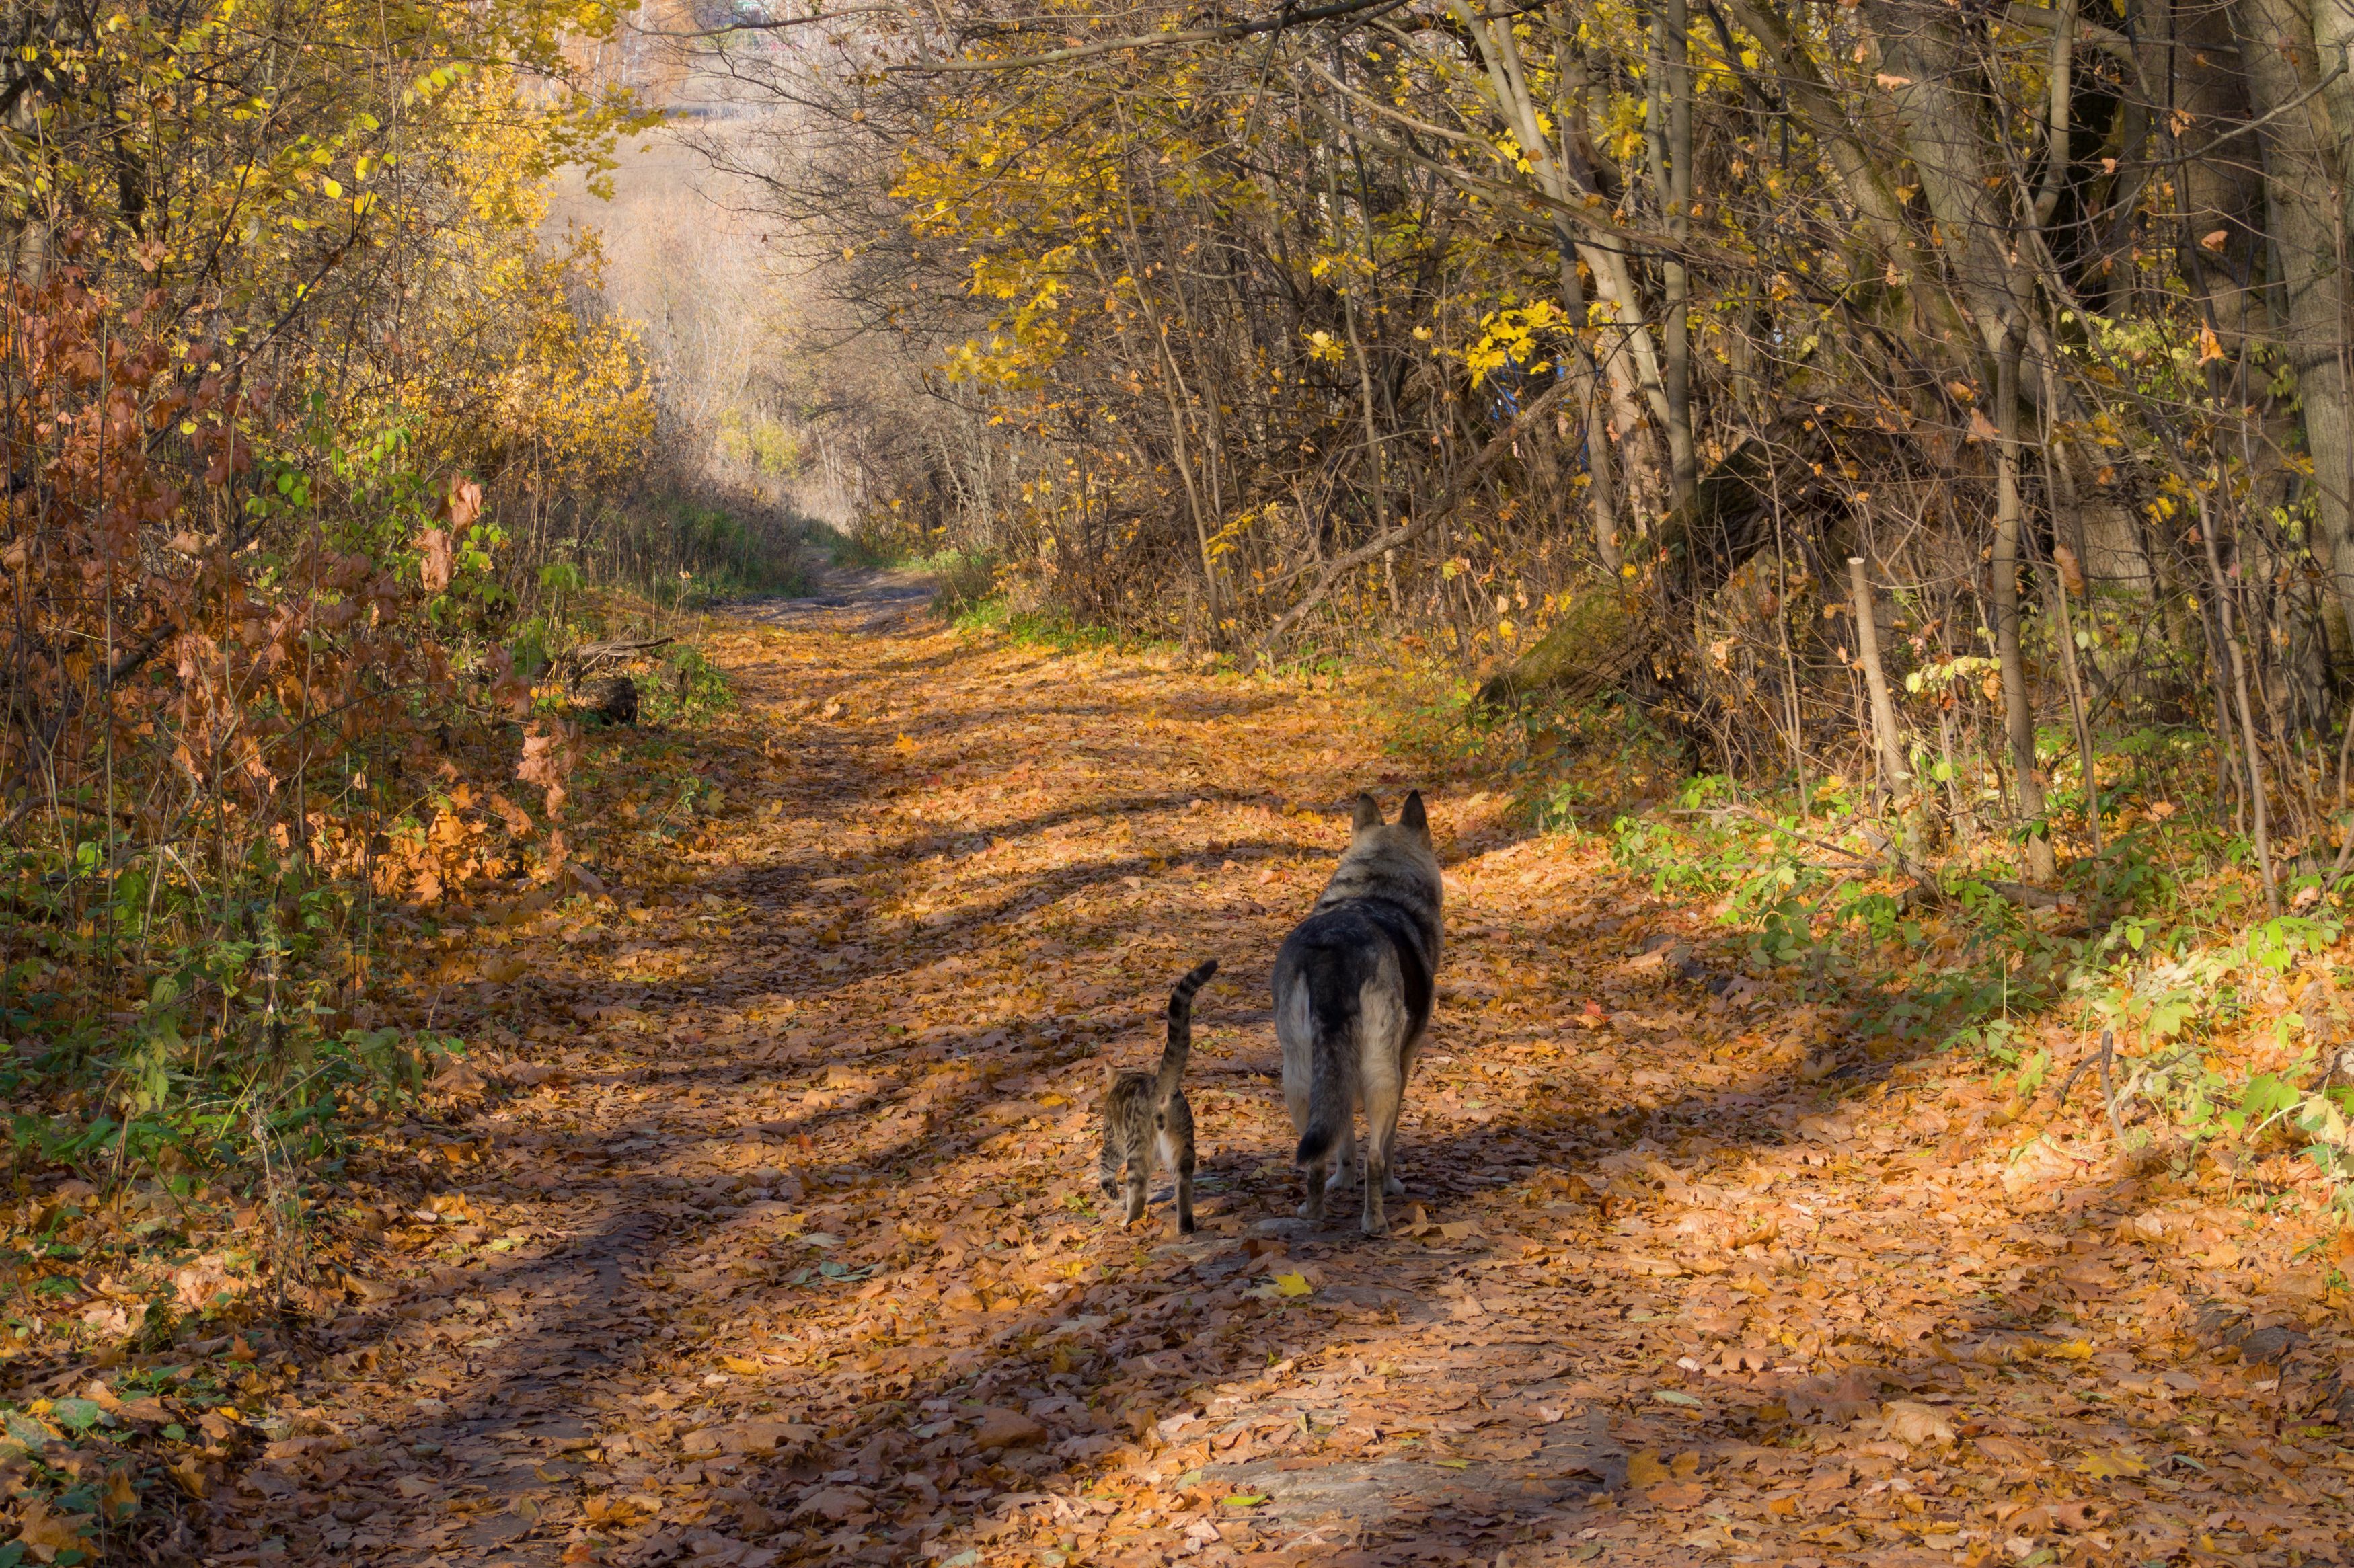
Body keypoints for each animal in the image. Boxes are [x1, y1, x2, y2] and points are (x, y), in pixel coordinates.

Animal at [1097, 951, 1224, 1233]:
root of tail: (1161, 1087)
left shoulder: (1113, 1141)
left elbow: (1104, 1167)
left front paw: (1111, 1194)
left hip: (1137, 1147)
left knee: (1139, 1191)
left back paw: (1128, 1222)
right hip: (1182, 1144)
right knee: (1184, 1185)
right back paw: (1185, 1226)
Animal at [1281, 786, 1441, 1224]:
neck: (1375, 887)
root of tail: (1335, 945)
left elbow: (1344, 1138)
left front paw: (1343, 1181)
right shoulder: (1404, 1064)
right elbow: (1388, 1144)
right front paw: (1390, 1185)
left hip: (1298, 1075)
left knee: (1316, 1154)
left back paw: (1313, 1211)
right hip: (1382, 1074)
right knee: (1375, 1157)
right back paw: (1375, 1221)